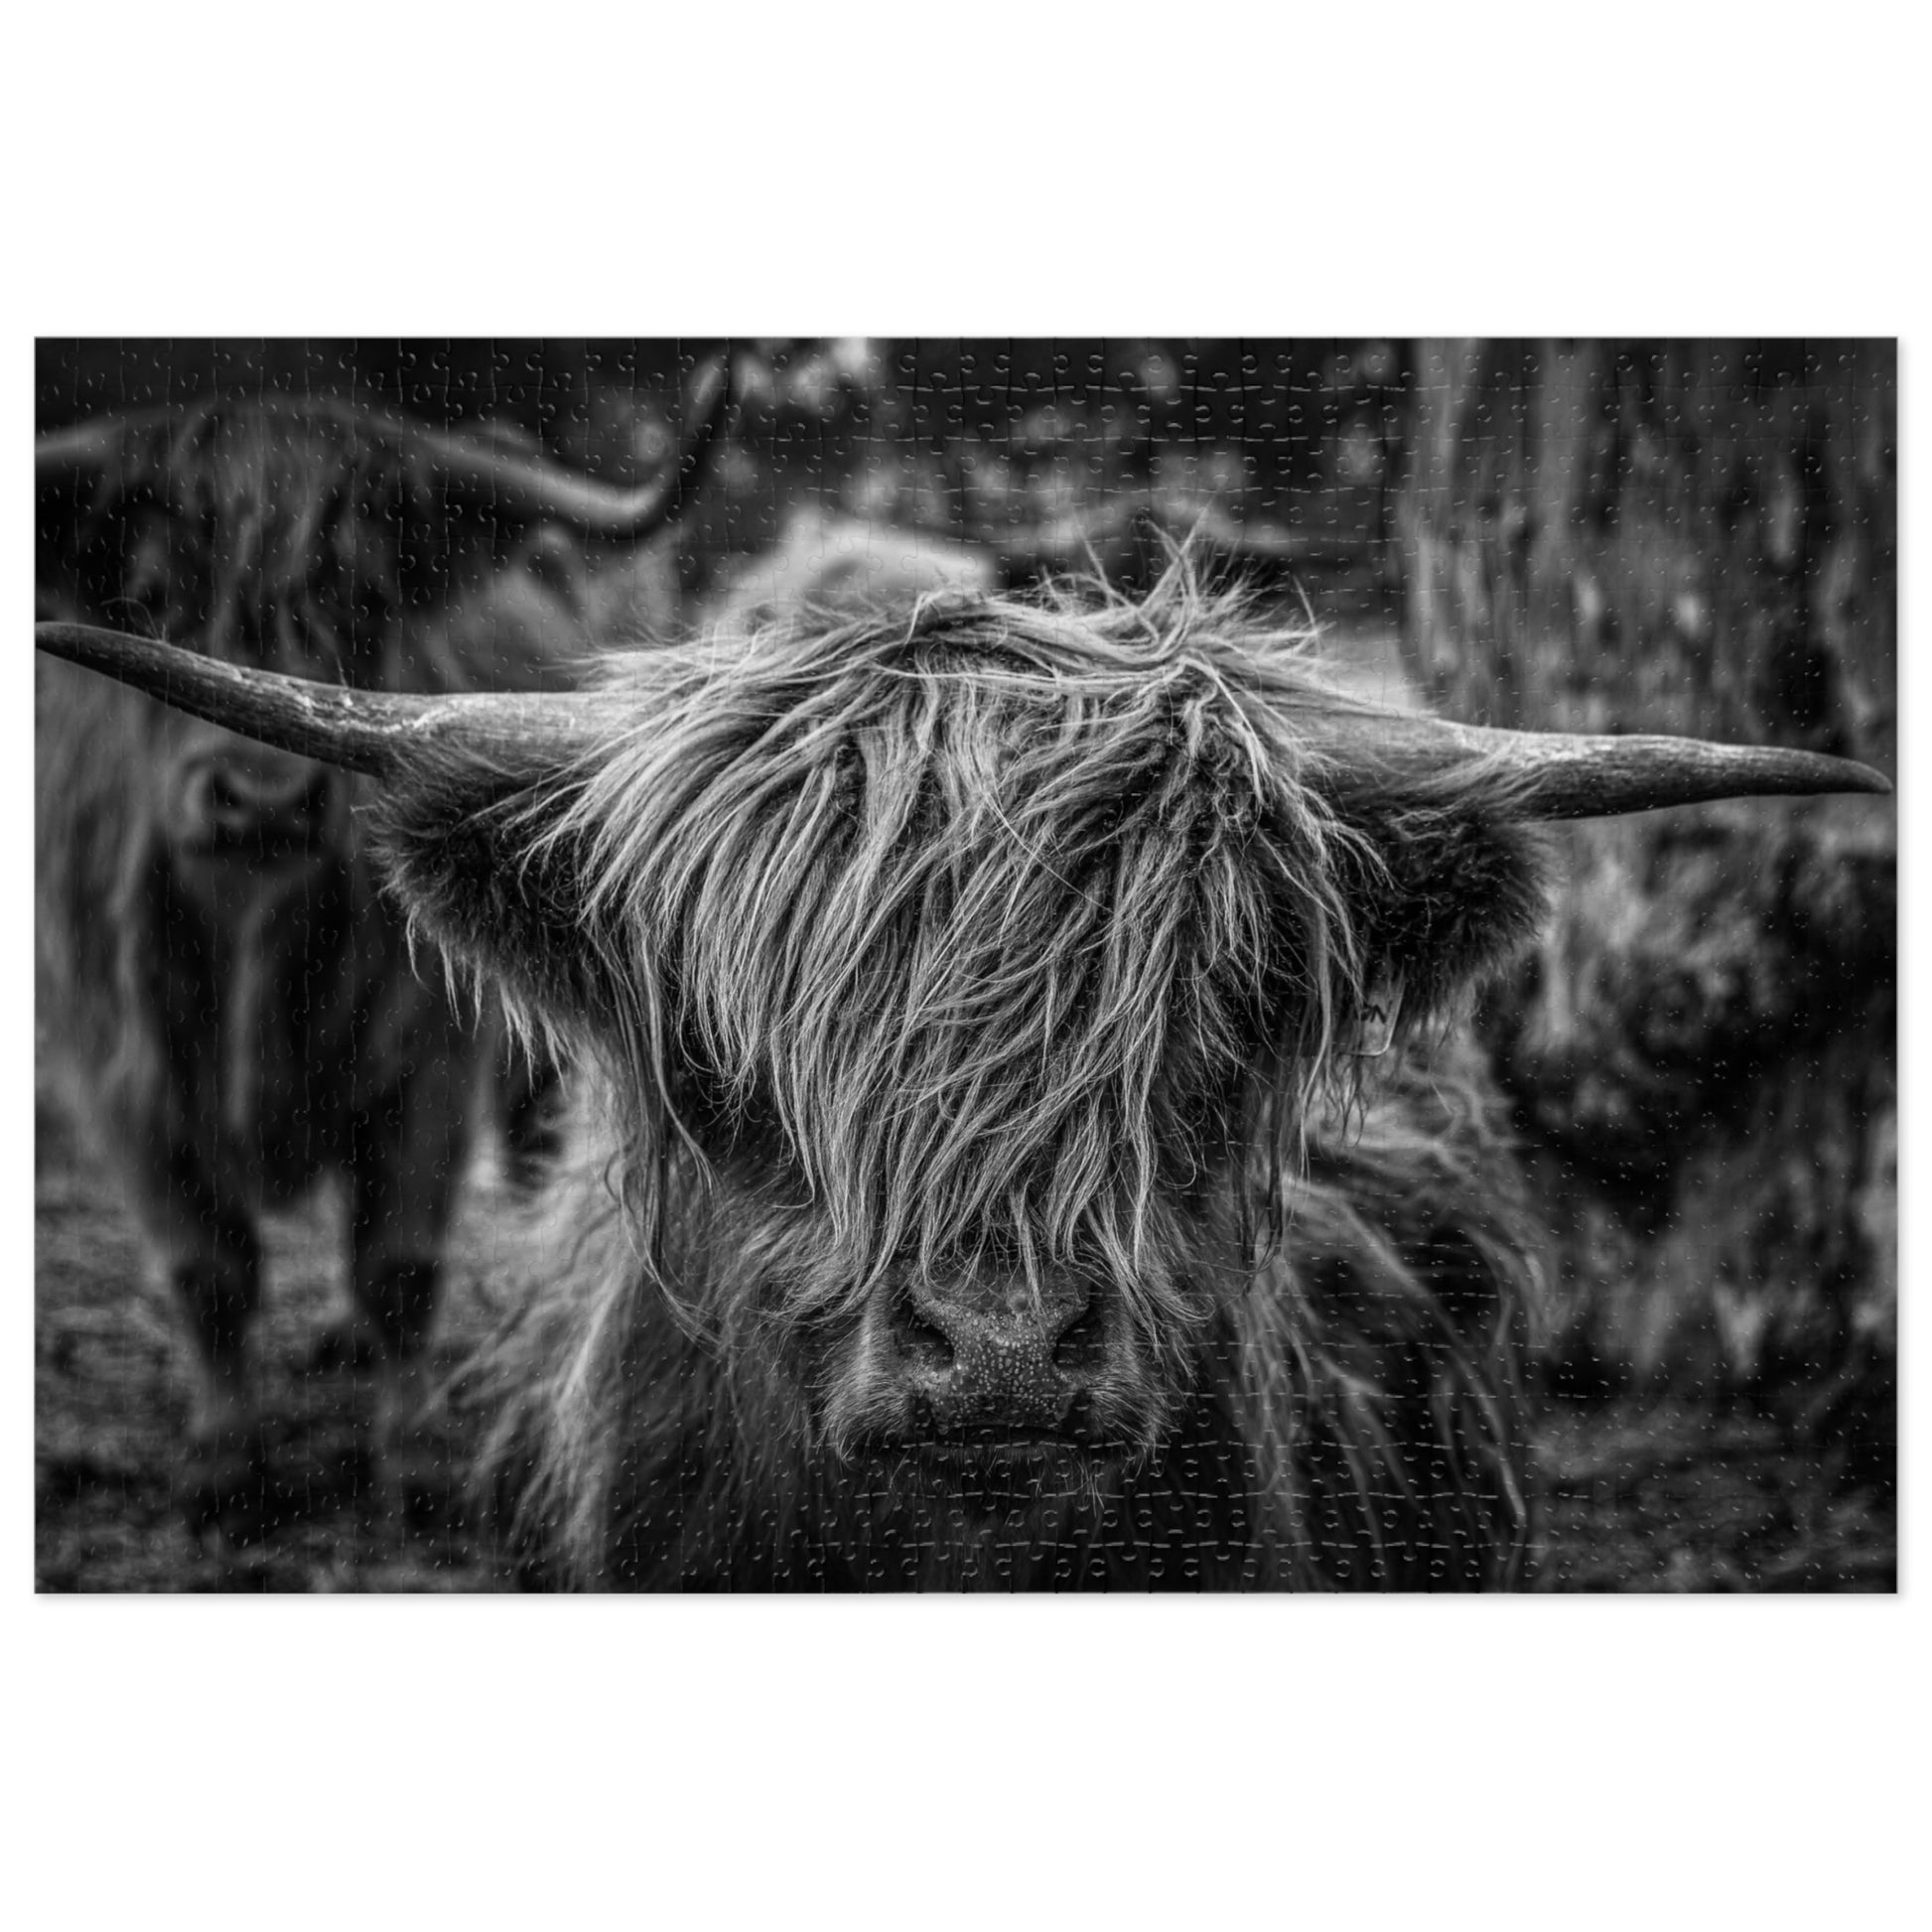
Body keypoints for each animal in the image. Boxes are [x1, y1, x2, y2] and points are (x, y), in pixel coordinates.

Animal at [37, 358, 730, 1538]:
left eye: (361, 599)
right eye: (150, 596)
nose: (261, 802)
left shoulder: (424, 1056)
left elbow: (401, 1260)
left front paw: (412, 1463)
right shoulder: (121, 1068)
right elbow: (206, 1269)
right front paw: (222, 1460)